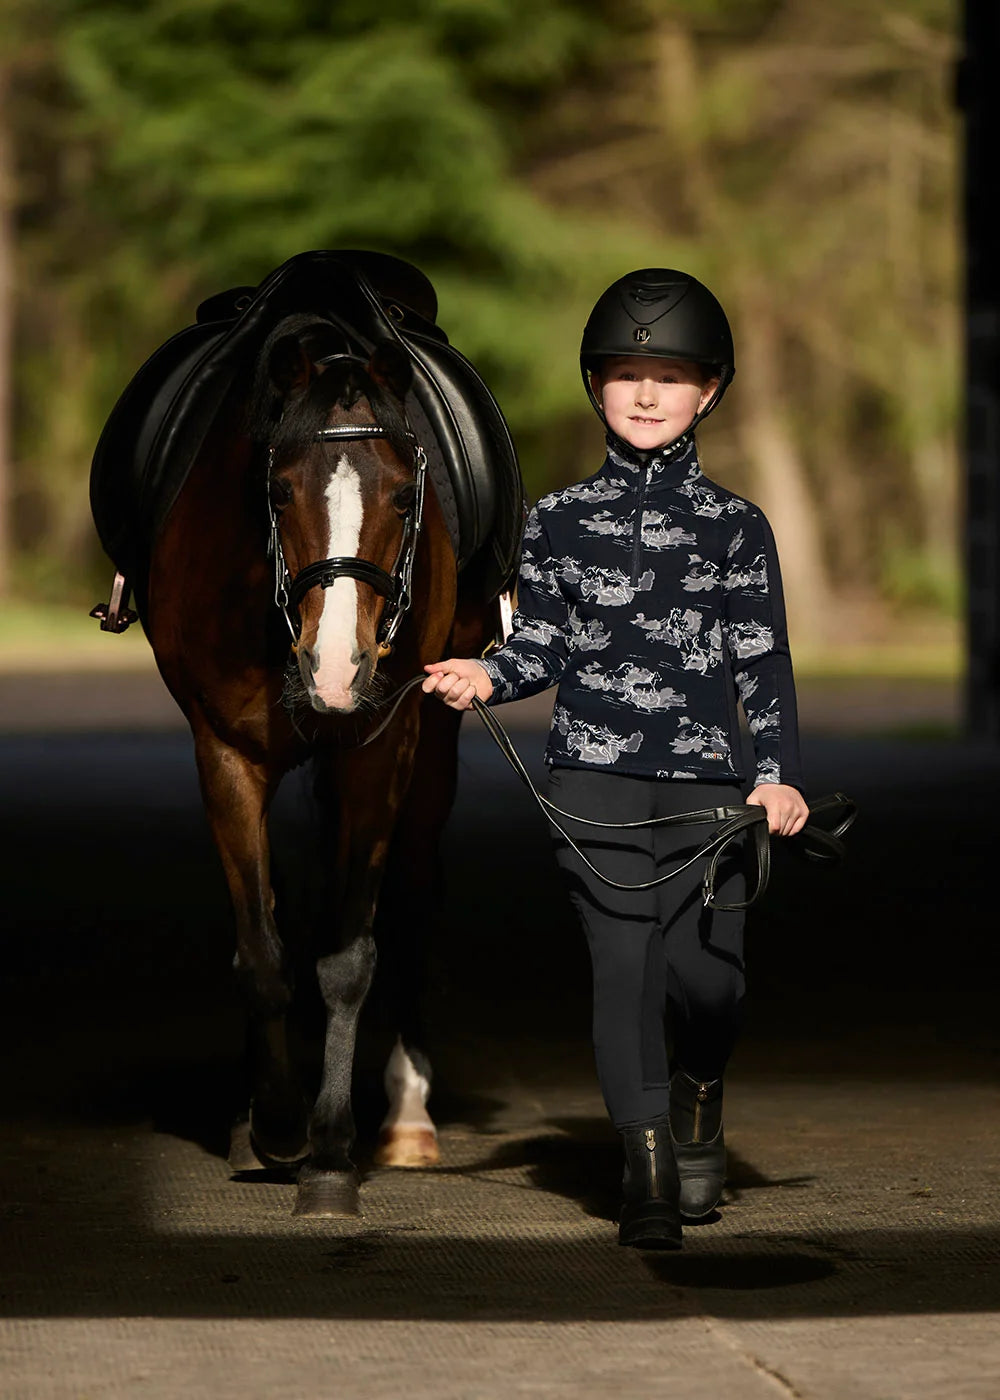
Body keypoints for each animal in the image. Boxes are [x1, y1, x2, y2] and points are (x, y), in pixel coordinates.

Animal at [142, 313, 495, 1216]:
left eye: (404, 496)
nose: (336, 669)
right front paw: (274, 1123)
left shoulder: (381, 751)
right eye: (277, 491)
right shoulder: (225, 753)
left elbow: (345, 957)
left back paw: (406, 1116)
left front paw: (331, 1156)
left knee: (409, 899)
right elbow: (262, 949)